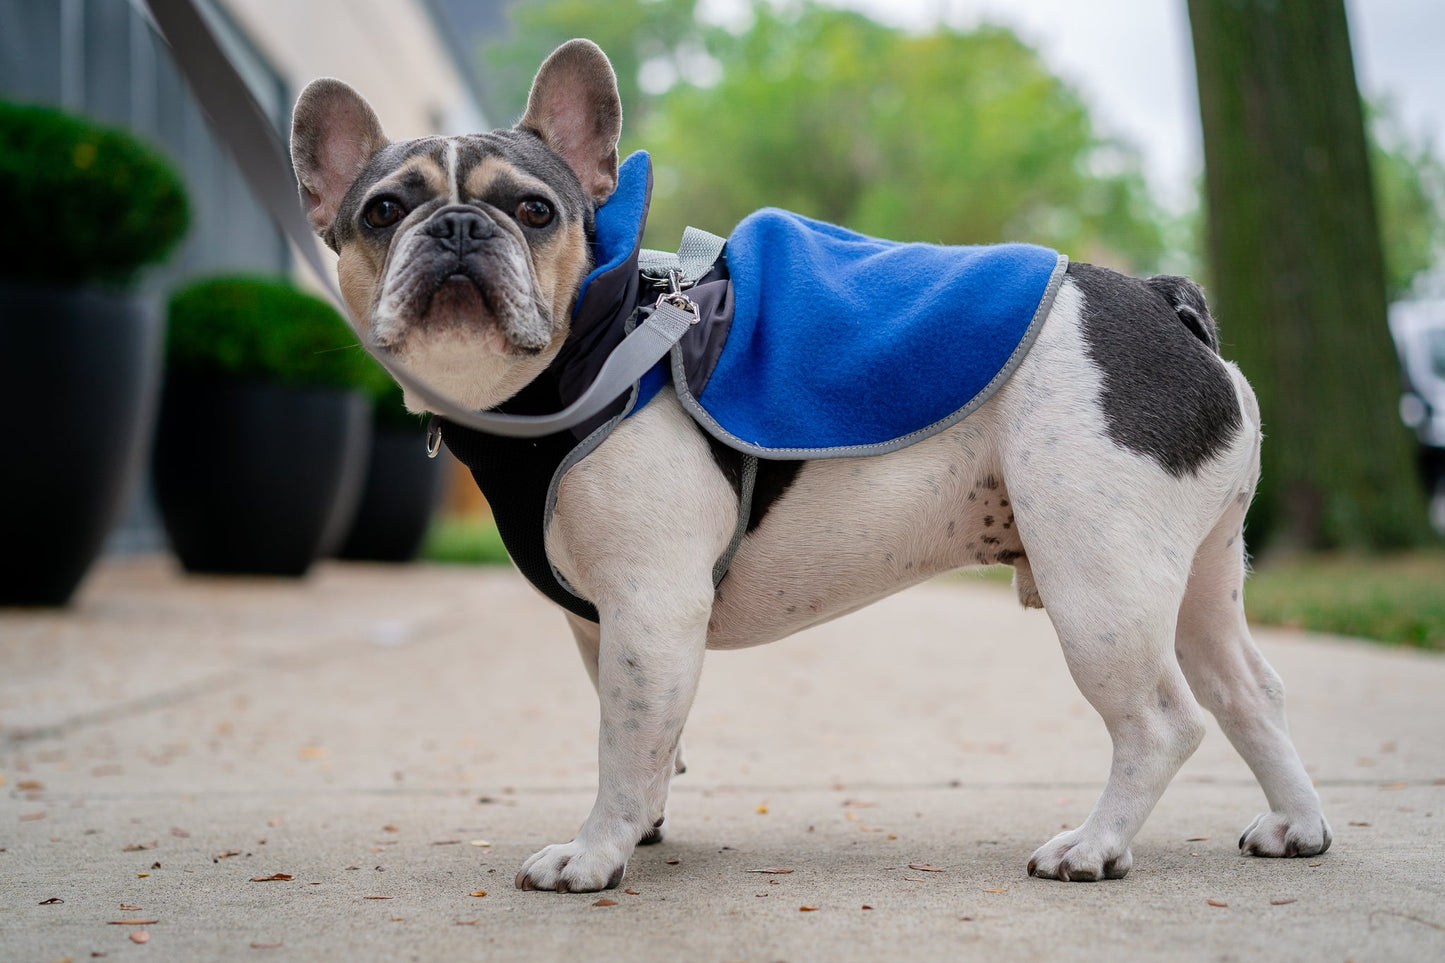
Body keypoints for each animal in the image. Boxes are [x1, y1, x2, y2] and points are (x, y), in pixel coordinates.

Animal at [290, 39, 1329, 890]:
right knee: (1249, 687)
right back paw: (1295, 824)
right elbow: (644, 728)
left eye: (534, 210)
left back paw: (1094, 845)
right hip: (1191, 572)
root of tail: (1160, 301)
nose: (459, 228)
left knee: (1161, 718)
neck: (590, 344)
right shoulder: (607, 621)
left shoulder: (651, 604)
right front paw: (643, 824)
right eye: (383, 210)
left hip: (1097, 580)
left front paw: (593, 853)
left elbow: (621, 740)